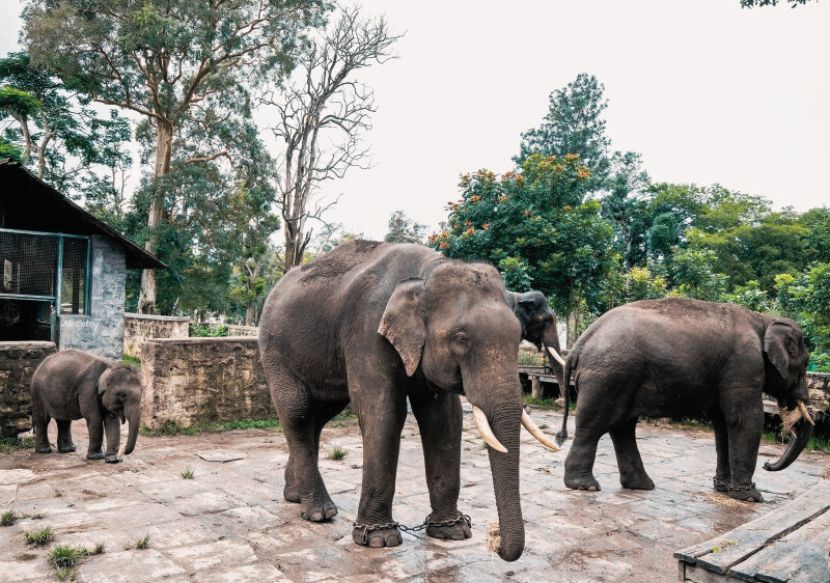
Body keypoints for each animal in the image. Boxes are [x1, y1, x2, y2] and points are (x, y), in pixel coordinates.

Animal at [258, 240, 564, 561]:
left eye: (519, 338)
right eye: (461, 338)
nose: (495, 542)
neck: (425, 275)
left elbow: (444, 419)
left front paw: (452, 532)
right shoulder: (367, 331)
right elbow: (384, 411)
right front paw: (378, 540)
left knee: (318, 416)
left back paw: (295, 496)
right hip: (274, 350)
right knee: (298, 411)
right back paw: (320, 513)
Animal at [556, 298, 814, 502]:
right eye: (803, 367)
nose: (767, 465)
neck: (763, 320)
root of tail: (582, 340)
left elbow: (722, 423)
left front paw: (722, 489)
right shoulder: (744, 365)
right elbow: (743, 419)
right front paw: (750, 497)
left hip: (621, 376)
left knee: (622, 426)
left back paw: (641, 486)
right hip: (608, 375)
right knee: (594, 425)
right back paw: (586, 486)